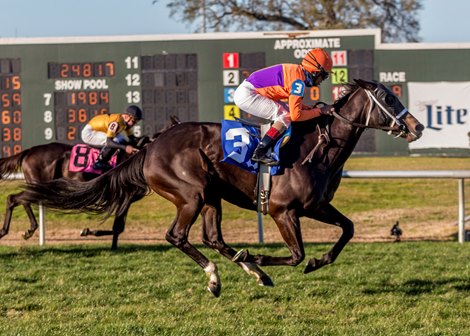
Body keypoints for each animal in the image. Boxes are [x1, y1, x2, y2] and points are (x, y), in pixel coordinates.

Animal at [22, 79, 424, 296]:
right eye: (388, 98)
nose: (417, 127)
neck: (318, 147)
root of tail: (152, 145)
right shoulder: (282, 211)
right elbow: (295, 254)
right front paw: (262, 256)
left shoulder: (316, 206)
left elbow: (348, 229)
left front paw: (316, 262)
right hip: (192, 193)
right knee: (178, 236)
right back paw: (218, 276)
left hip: (212, 195)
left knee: (212, 237)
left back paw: (250, 271)